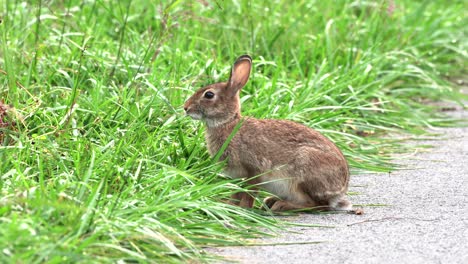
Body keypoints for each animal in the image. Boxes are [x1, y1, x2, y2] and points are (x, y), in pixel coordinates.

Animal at [183, 55, 354, 212]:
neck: (227, 123)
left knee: (317, 205)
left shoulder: (254, 170)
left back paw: (281, 205)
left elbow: (249, 193)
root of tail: (340, 189)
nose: (185, 107)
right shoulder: (239, 176)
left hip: (304, 171)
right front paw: (230, 204)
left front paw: (242, 209)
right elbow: (237, 193)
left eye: (209, 95)